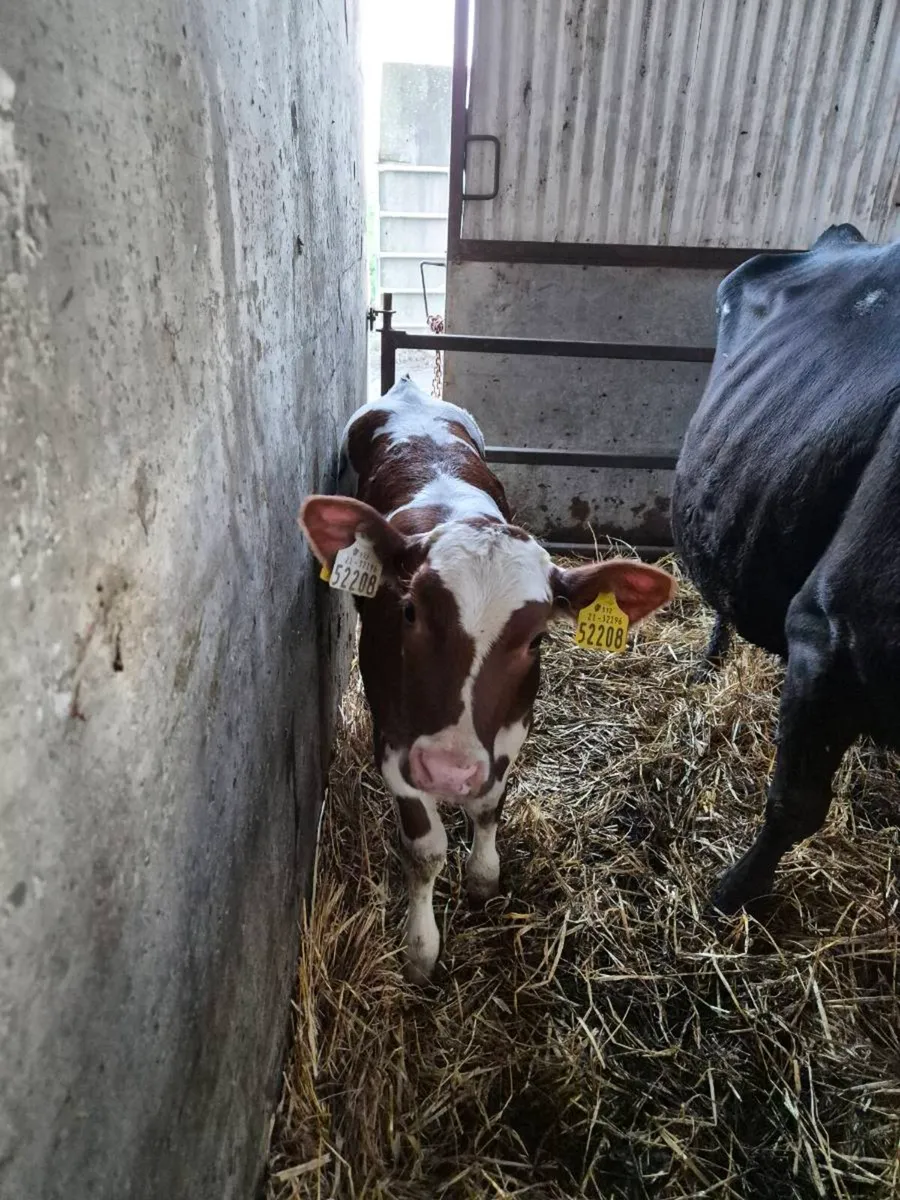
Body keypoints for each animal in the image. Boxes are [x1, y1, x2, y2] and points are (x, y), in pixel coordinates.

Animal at [300, 377, 676, 981]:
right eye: (408, 611)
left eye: (537, 639)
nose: (448, 770)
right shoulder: (393, 739)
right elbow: (425, 849)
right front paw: (421, 950)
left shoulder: (513, 726)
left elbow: (488, 806)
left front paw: (482, 877)